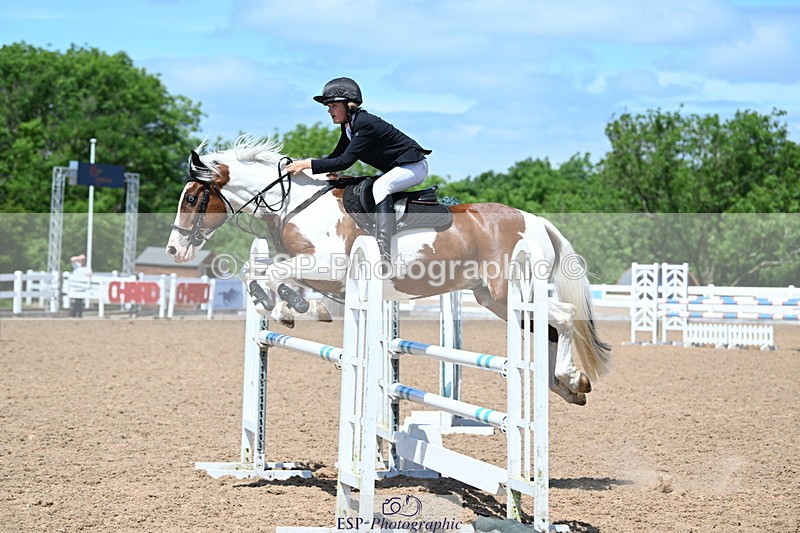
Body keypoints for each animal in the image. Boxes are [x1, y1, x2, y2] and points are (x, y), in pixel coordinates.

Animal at [166, 136, 611, 405]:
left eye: (192, 198)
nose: (174, 249)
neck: (296, 203)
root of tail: (536, 220)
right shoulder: (320, 272)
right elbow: (266, 274)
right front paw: (295, 306)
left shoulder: (329, 263)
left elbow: (270, 274)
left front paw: (281, 308)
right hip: (495, 299)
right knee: (548, 329)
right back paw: (567, 385)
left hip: (510, 291)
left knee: (565, 318)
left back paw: (571, 377)